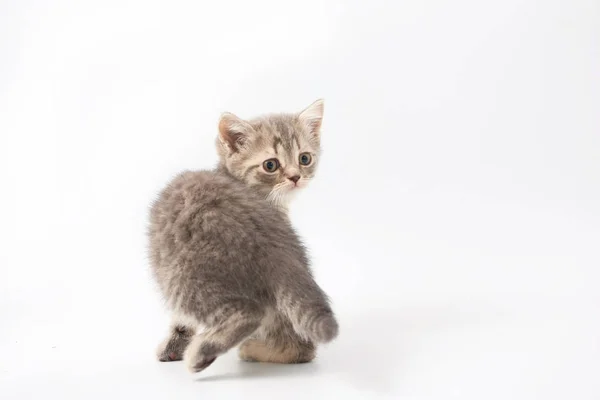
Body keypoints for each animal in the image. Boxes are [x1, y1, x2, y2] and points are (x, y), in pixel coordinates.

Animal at [148, 99, 340, 372]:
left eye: (304, 158)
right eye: (271, 165)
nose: (296, 177)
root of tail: (274, 249)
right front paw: (173, 345)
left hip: (182, 275)